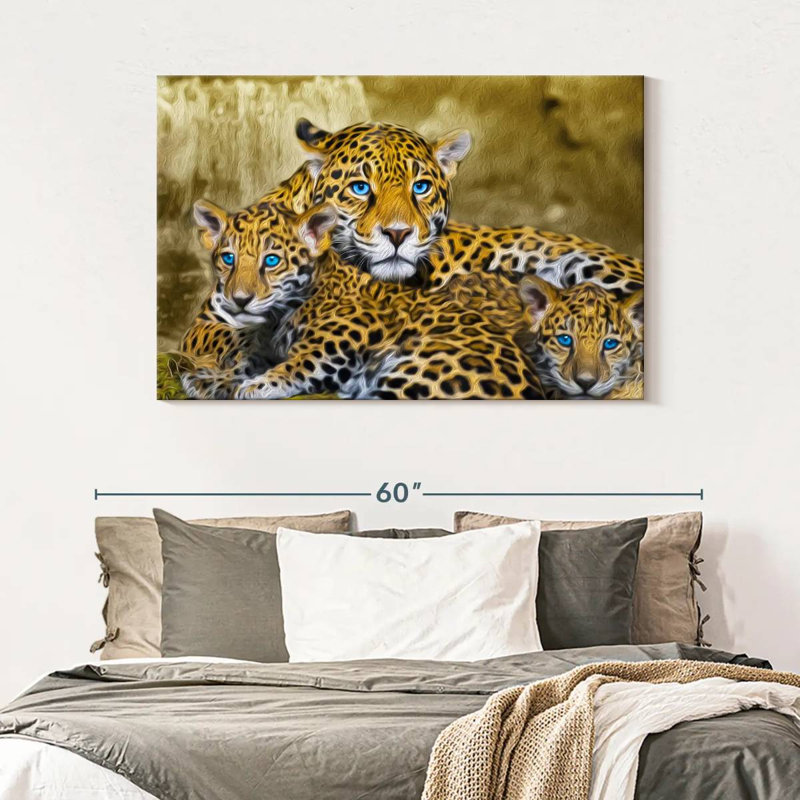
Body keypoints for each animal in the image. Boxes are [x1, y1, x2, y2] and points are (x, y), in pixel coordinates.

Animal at [182, 201, 544, 400]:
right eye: (228, 258)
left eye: (271, 261)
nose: (239, 300)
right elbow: (241, 357)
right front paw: (209, 379)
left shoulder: (342, 339)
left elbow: (301, 363)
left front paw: (259, 385)